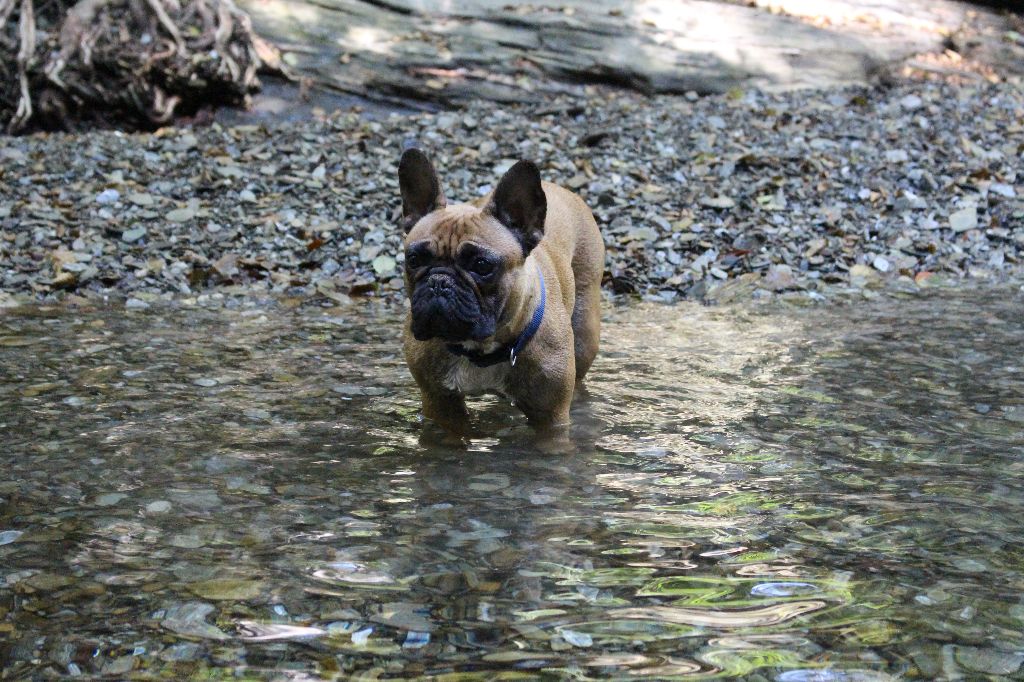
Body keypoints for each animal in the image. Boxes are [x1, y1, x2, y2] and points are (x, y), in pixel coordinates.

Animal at [395, 147, 602, 430]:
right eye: (414, 259)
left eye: (482, 265)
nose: (439, 281)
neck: (480, 351)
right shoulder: (440, 405)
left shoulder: (550, 417)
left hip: (584, 332)